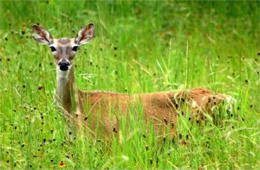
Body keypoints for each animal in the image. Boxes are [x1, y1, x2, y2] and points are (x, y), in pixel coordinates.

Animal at [32, 22, 234, 139]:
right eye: (52, 47)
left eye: (75, 47)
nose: (63, 64)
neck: (76, 106)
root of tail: (228, 99)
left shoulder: (105, 137)